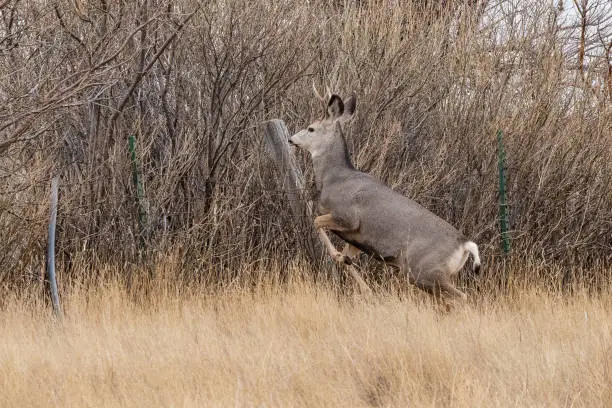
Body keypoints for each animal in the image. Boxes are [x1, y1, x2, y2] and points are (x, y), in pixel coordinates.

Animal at [290, 94, 480, 302]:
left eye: (311, 128)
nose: (291, 139)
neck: (334, 179)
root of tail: (465, 244)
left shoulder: (347, 217)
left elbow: (316, 221)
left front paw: (341, 260)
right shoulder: (357, 239)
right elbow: (347, 259)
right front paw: (361, 282)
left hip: (424, 270)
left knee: (461, 296)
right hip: (428, 274)